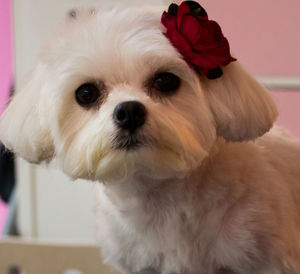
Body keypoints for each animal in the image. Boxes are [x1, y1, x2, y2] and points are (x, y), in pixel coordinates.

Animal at [0, 2, 300, 274]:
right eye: (86, 93)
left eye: (166, 81)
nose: (129, 112)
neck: (160, 198)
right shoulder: (141, 265)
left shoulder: (266, 259)